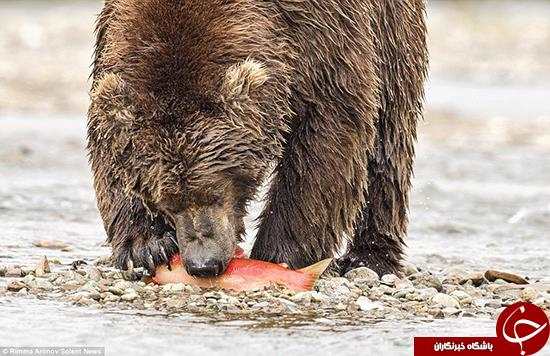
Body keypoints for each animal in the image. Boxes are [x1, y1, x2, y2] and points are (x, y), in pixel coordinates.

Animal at [87, 0, 432, 278]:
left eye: (215, 192)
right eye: (167, 201)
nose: (203, 264)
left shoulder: (325, 40)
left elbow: (326, 139)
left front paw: (277, 253)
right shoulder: (112, 43)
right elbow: (108, 148)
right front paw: (146, 246)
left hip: (393, 36)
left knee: (389, 144)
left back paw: (369, 257)